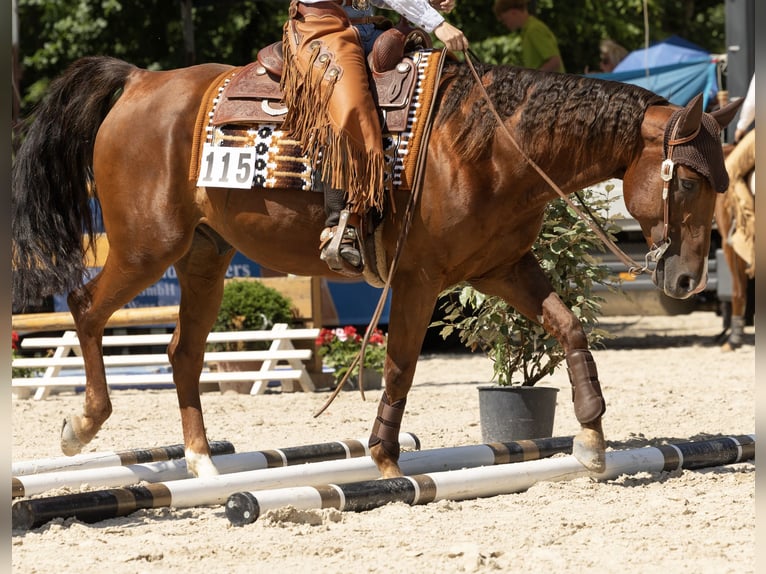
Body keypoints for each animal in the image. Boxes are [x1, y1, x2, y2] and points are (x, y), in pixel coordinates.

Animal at [12, 54, 741, 479]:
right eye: (686, 181)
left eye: (721, 180)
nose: (687, 279)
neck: (487, 146)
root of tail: (141, 82)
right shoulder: (418, 279)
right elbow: (402, 365)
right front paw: (386, 458)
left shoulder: (501, 267)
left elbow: (568, 327)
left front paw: (591, 438)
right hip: (146, 247)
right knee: (85, 309)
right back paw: (82, 425)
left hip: (202, 257)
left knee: (183, 352)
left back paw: (202, 464)